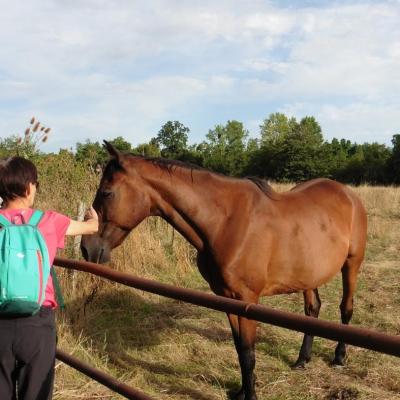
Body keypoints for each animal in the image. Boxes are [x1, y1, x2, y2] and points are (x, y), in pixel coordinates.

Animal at [79, 143, 368, 400]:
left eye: (106, 193)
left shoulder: (248, 300)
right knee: (312, 309)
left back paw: (339, 357)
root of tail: (349, 194)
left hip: (351, 265)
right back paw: (302, 359)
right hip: (309, 273)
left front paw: (251, 395)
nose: (86, 248)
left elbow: (249, 352)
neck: (226, 221)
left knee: (346, 307)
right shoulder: (228, 299)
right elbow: (240, 350)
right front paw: (240, 391)